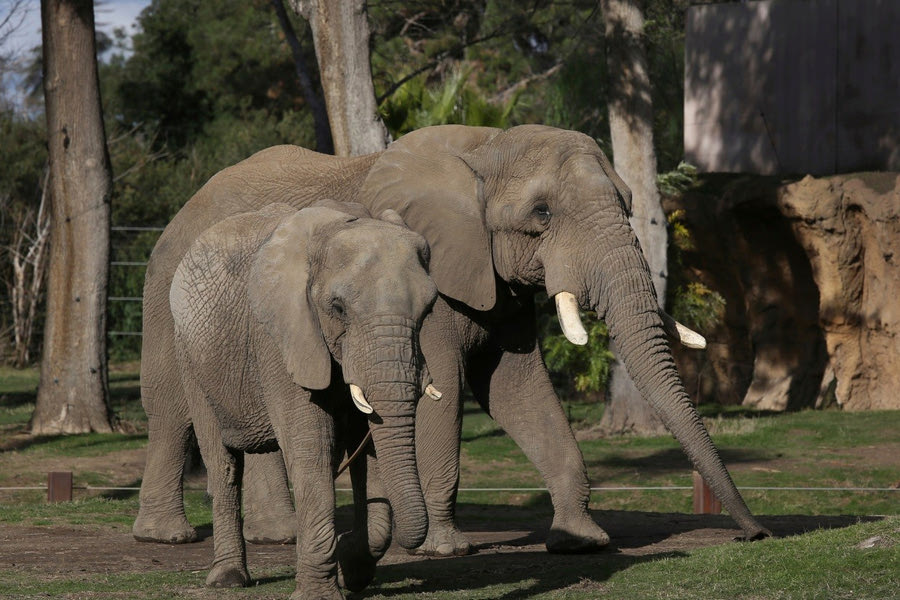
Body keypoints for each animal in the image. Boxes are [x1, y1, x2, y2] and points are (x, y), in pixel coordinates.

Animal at [135, 123, 772, 556]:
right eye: (542, 214)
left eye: (629, 204)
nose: (755, 534)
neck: (484, 149)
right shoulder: (431, 279)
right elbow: (440, 387)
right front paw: (446, 547)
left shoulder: (499, 284)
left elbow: (520, 390)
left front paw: (581, 540)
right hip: (167, 297)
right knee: (170, 409)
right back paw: (168, 537)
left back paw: (281, 536)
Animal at [170, 202, 440, 596]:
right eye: (338, 308)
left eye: (429, 309)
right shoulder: (282, 337)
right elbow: (311, 447)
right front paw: (320, 593)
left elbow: (368, 450)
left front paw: (351, 566)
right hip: (191, 359)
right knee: (223, 465)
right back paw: (228, 580)